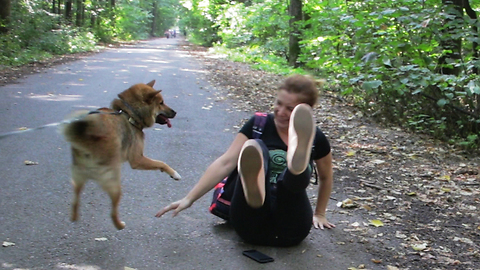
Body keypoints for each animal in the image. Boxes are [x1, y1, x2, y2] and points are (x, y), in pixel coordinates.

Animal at [60, 80, 180, 230]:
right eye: (161, 103)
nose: (175, 112)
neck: (129, 114)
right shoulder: (137, 159)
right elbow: (161, 163)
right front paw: (174, 173)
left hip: (78, 178)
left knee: (75, 201)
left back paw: (75, 216)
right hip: (114, 182)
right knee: (112, 212)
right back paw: (119, 225)